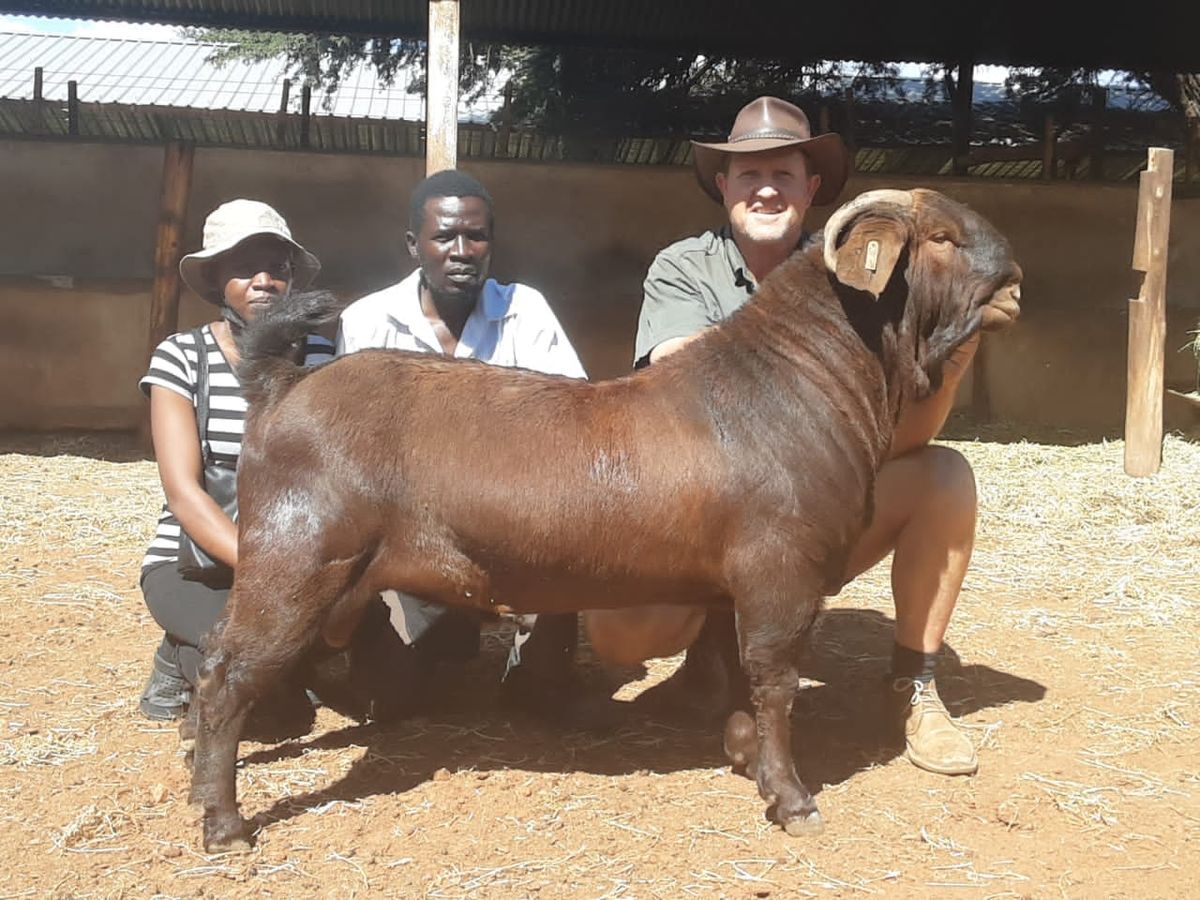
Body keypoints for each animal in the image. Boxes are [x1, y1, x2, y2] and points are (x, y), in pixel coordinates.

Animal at [187, 190, 1022, 854]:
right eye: (941, 237)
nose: (1013, 280)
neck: (788, 382)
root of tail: (281, 383)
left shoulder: (736, 581)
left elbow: (742, 675)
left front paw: (747, 760)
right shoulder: (781, 568)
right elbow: (776, 678)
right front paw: (792, 799)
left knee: (216, 663)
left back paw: (201, 788)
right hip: (300, 559)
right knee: (229, 676)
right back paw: (225, 824)